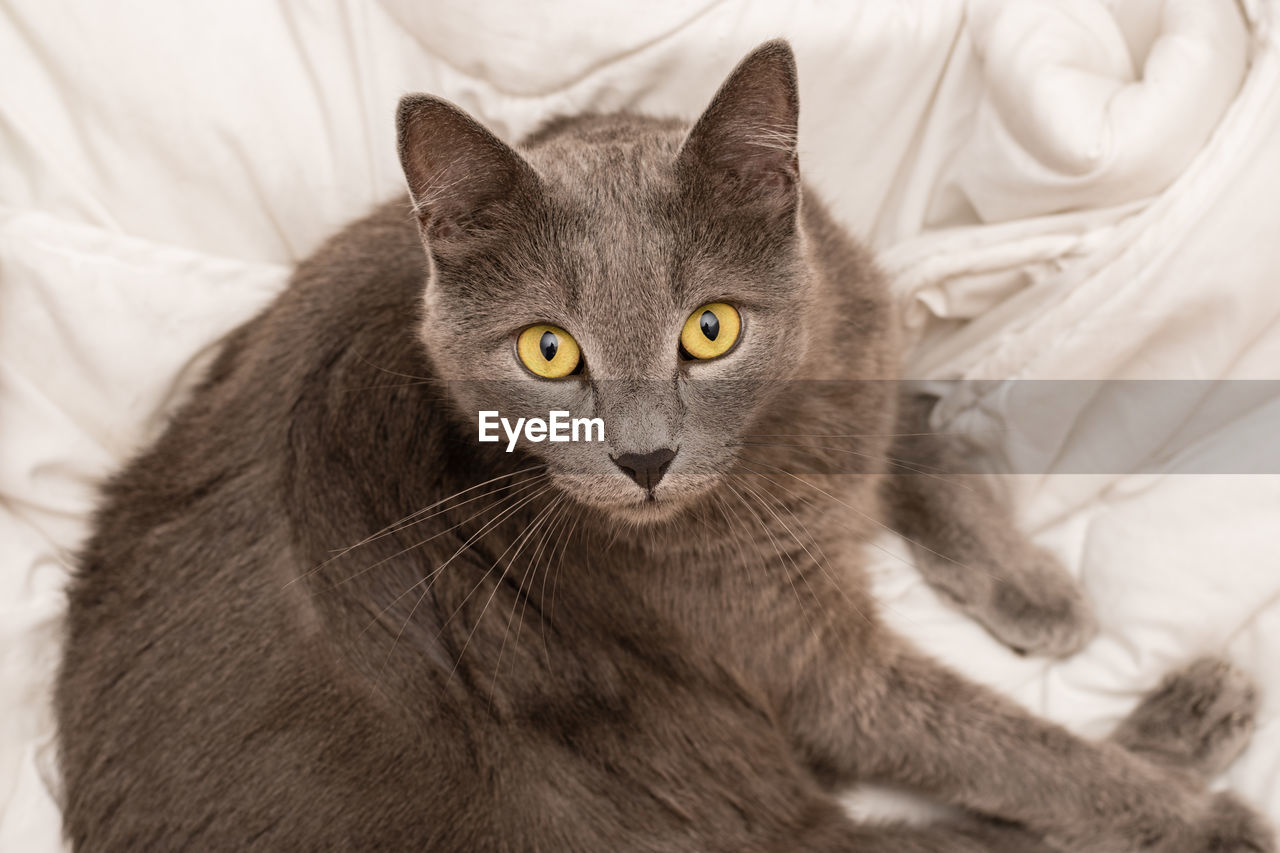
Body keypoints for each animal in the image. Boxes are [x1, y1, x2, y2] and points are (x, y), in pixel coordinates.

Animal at [57, 41, 1269, 850]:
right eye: (547, 351)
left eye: (711, 328)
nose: (643, 459)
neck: (782, 449)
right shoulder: (802, 661)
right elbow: (996, 741)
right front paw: (1185, 813)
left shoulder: (862, 343)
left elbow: (912, 427)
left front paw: (1030, 588)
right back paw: (1196, 728)